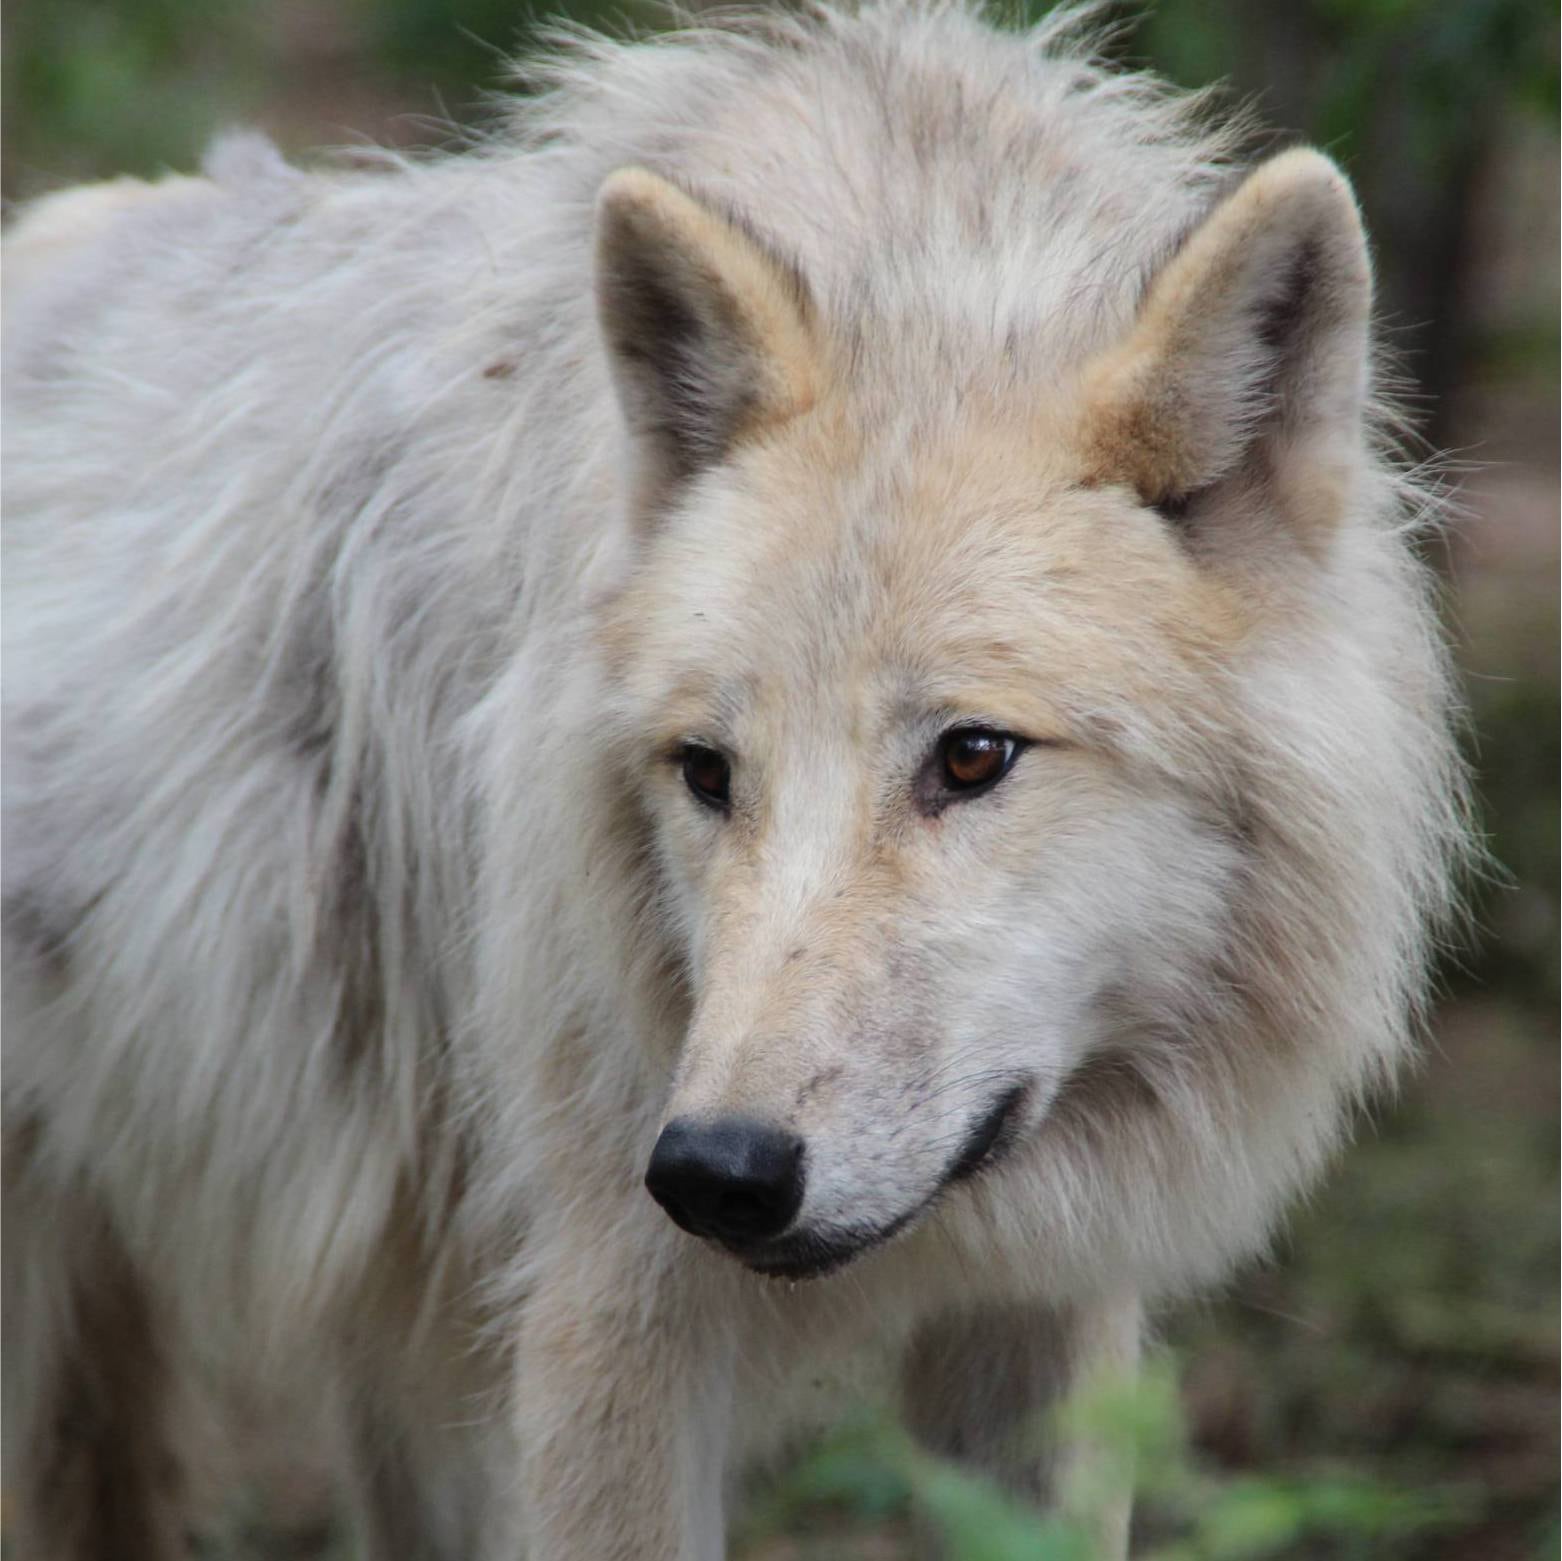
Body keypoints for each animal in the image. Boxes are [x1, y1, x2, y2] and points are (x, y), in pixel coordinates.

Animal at [2, 3, 1468, 1556]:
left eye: (971, 755)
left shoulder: (1045, 1315)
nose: (716, 1169)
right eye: (706, 770)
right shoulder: (608, 1304)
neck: (914, 256)